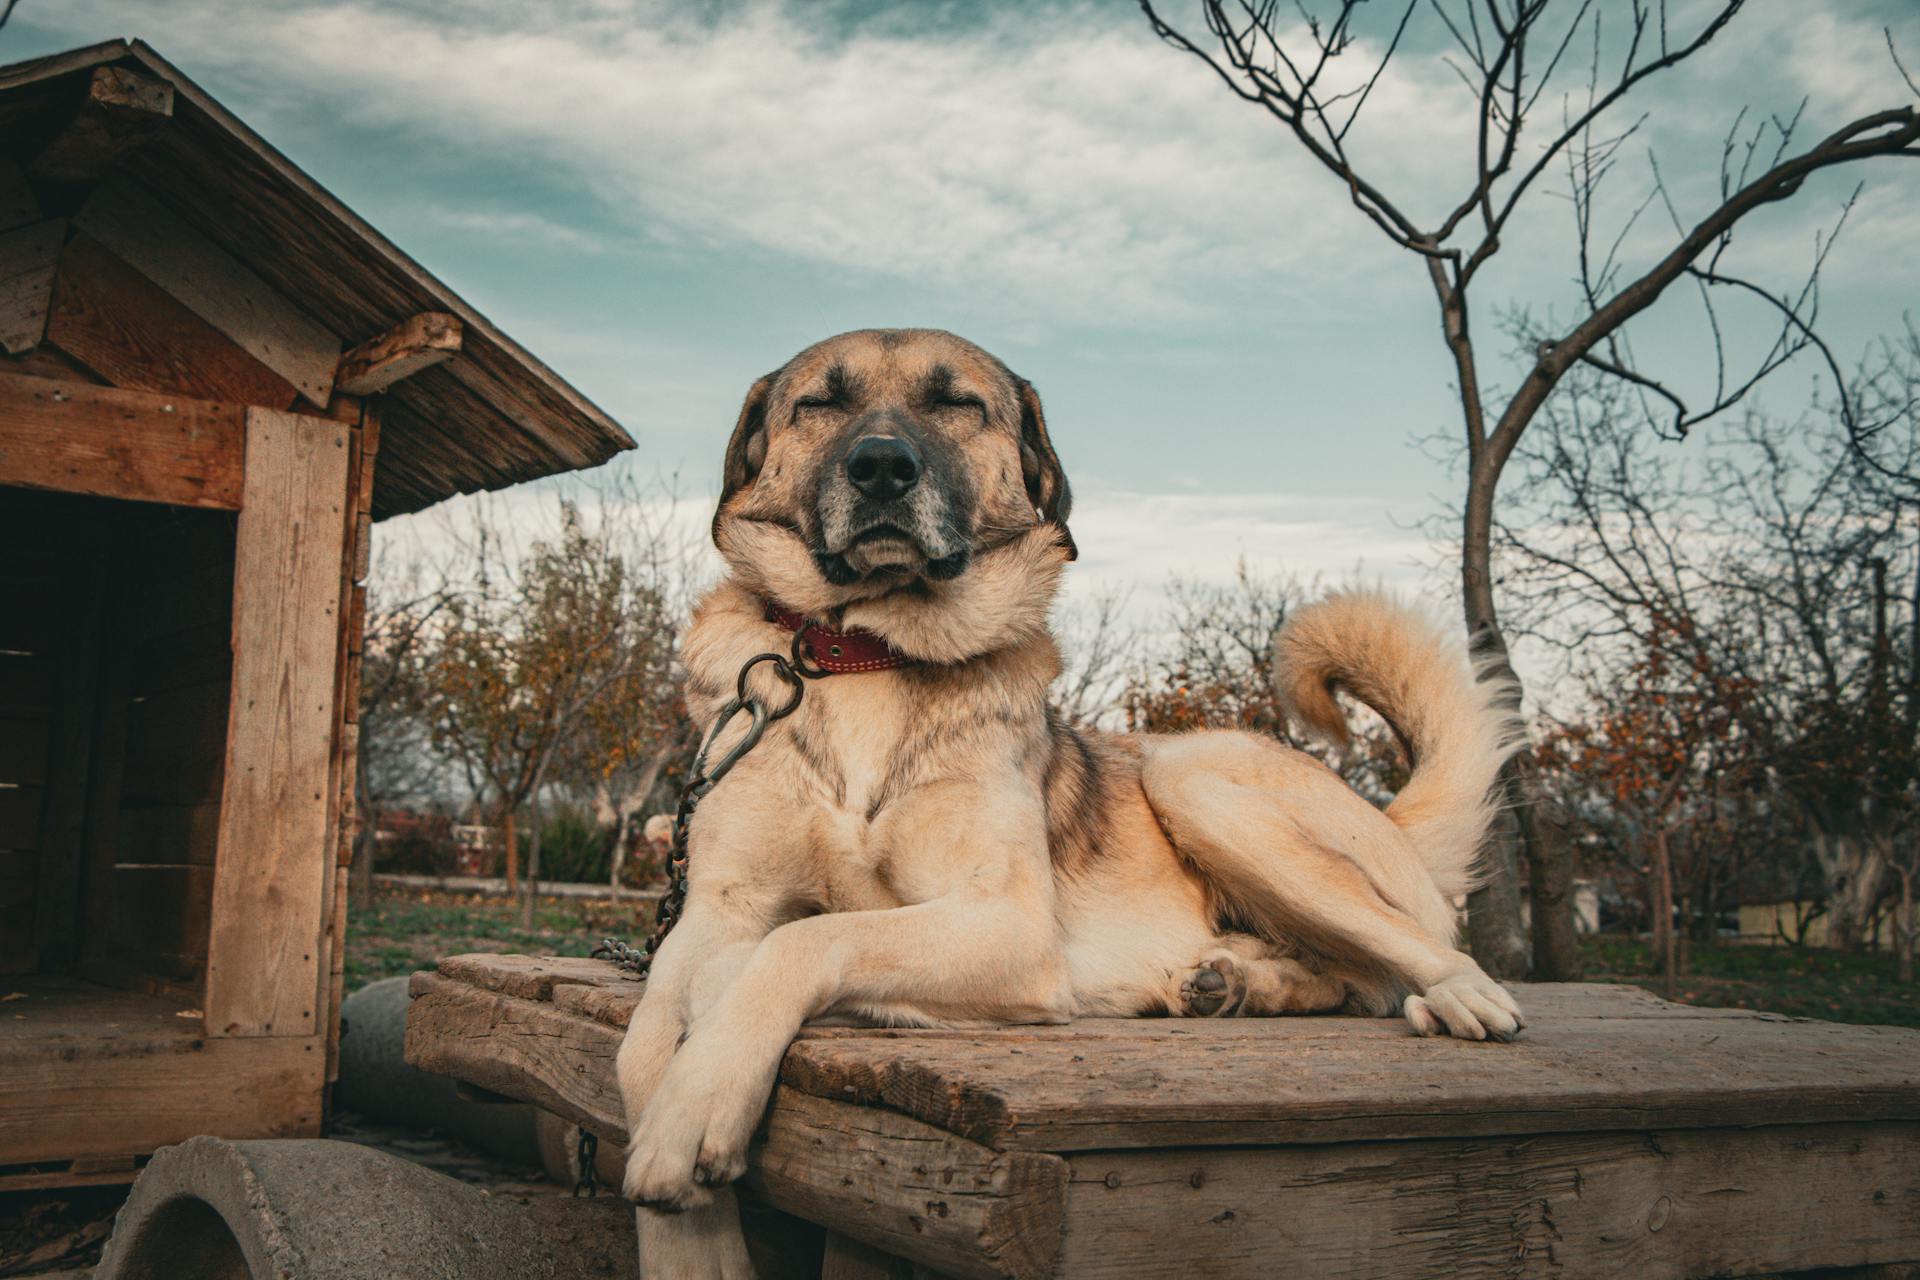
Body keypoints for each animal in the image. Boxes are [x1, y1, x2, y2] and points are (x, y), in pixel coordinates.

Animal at [610, 333, 1512, 1280]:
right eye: (820, 402)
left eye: (957, 404)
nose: (882, 468)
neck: (868, 652)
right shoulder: (717, 905)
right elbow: (643, 1043)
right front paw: (688, 1231)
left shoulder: (1007, 922)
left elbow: (803, 940)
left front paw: (701, 1098)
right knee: (1337, 972)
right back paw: (1230, 983)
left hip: (1188, 776)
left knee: (1420, 951)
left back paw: (1452, 997)